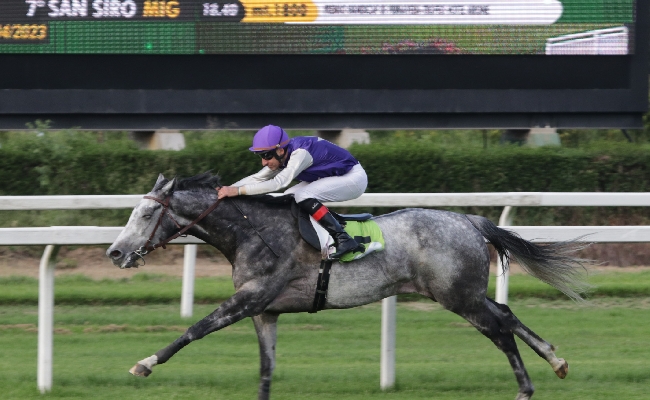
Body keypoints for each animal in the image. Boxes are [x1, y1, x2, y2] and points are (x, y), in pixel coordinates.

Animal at [105, 173, 588, 400]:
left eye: (146, 215)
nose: (114, 252)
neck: (252, 231)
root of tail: (468, 219)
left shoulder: (250, 298)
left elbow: (195, 329)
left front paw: (144, 363)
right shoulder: (265, 310)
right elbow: (266, 368)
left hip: (457, 297)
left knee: (500, 331)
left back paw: (525, 388)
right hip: (466, 291)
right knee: (506, 314)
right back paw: (557, 360)